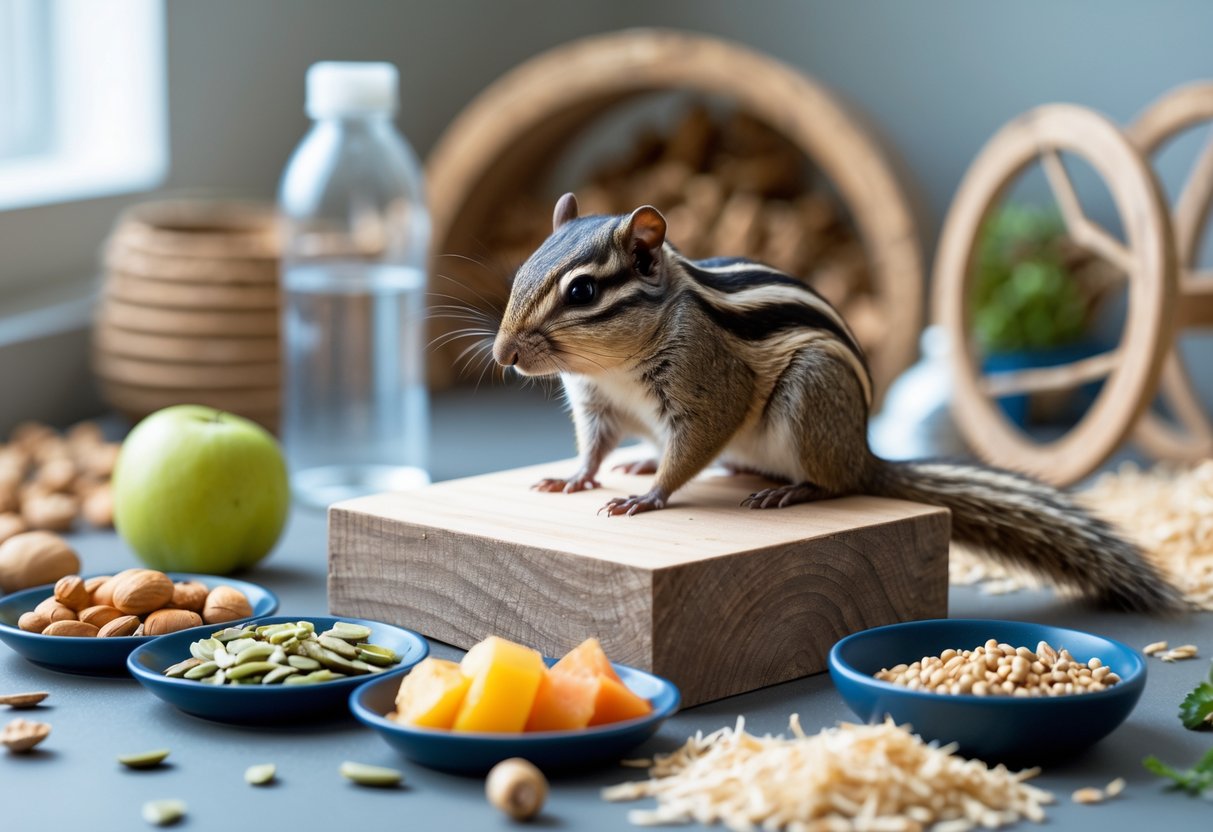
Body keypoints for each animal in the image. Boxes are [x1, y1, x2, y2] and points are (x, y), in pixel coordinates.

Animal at [491, 193, 1182, 613]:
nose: (503, 354)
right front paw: (575, 477)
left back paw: (789, 491)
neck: (612, 368)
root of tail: (865, 453)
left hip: (810, 395)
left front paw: (649, 495)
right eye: (521, 271)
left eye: (582, 292)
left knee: (833, 483)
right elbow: (594, 446)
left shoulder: (707, 388)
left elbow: (692, 445)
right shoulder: (596, 404)